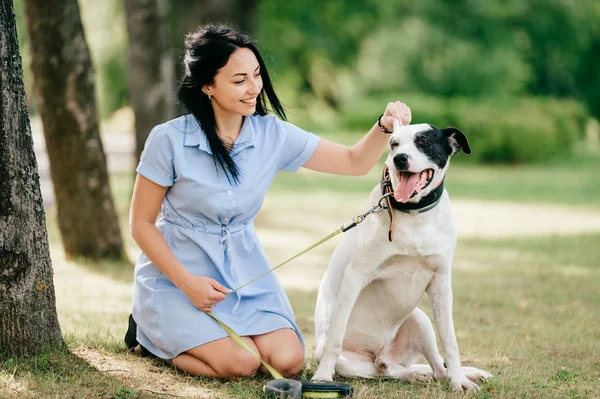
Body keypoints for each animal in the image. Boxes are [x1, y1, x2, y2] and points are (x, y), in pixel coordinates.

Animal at [312, 121, 490, 394]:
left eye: (423, 141)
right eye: (393, 144)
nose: (399, 159)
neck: (414, 213)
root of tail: (384, 352)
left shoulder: (441, 282)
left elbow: (450, 341)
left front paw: (459, 381)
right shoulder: (355, 276)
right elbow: (335, 338)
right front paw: (322, 377)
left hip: (421, 319)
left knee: (437, 368)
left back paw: (430, 374)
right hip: (353, 363)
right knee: (384, 371)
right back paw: (406, 373)